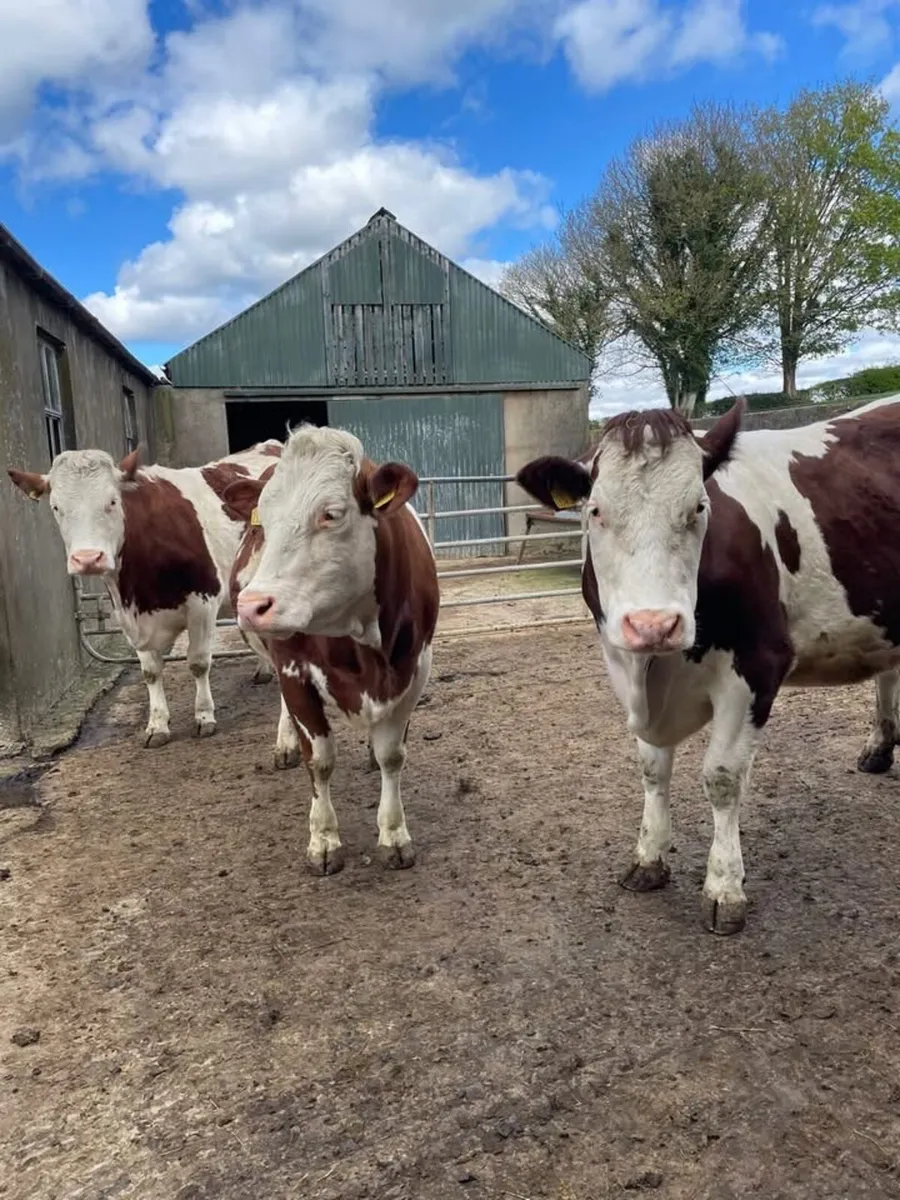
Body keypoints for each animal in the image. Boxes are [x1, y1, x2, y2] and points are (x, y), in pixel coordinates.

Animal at [7, 440, 296, 755]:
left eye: (112, 502)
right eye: (57, 507)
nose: (88, 559)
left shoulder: (202, 603)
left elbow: (198, 662)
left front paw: (204, 716)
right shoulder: (127, 615)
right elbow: (150, 672)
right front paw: (157, 724)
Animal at [226, 424, 439, 876]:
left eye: (331, 513)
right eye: (261, 523)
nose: (252, 605)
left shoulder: (414, 670)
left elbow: (393, 755)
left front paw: (394, 834)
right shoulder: (294, 670)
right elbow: (320, 759)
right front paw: (323, 839)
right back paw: (286, 744)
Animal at [515, 395, 900, 935]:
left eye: (699, 507)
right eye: (596, 511)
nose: (654, 624)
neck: (657, 673)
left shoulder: (756, 668)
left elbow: (721, 777)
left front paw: (724, 887)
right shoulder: (623, 663)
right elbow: (652, 769)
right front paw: (649, 857)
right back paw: (879, 747)